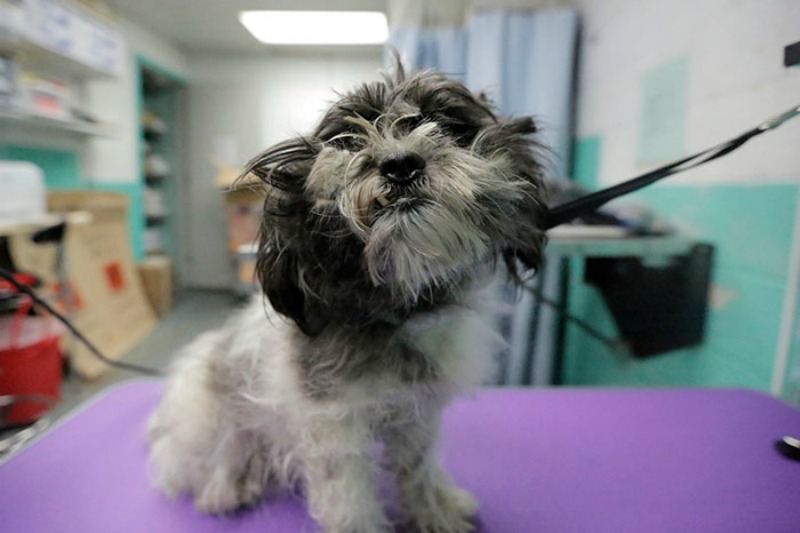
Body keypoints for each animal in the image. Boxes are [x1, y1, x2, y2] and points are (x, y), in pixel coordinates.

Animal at [147, 65, 548, 532]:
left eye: (447, 125)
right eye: (348, 139)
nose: (399, 164)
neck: (401, 308)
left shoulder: (418, 411)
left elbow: (420, 467)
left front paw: (437, 513)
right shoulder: (333, 423)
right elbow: (349, 498)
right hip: (205, 408)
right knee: (213, 453)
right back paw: (227, 487)